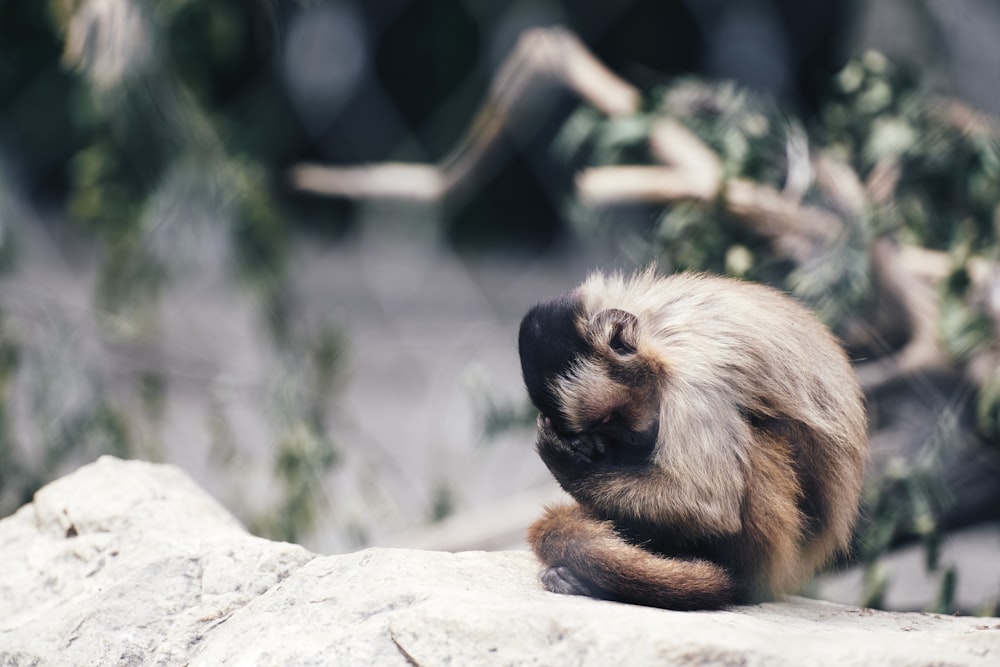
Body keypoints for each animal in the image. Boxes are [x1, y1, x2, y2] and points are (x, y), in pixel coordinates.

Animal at [516, 270, 868, 612]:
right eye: (600, 428)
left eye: (609, 418)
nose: (626, 438)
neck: (655, 333)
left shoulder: (696, 378)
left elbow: (708, 505)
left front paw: (564, 462)